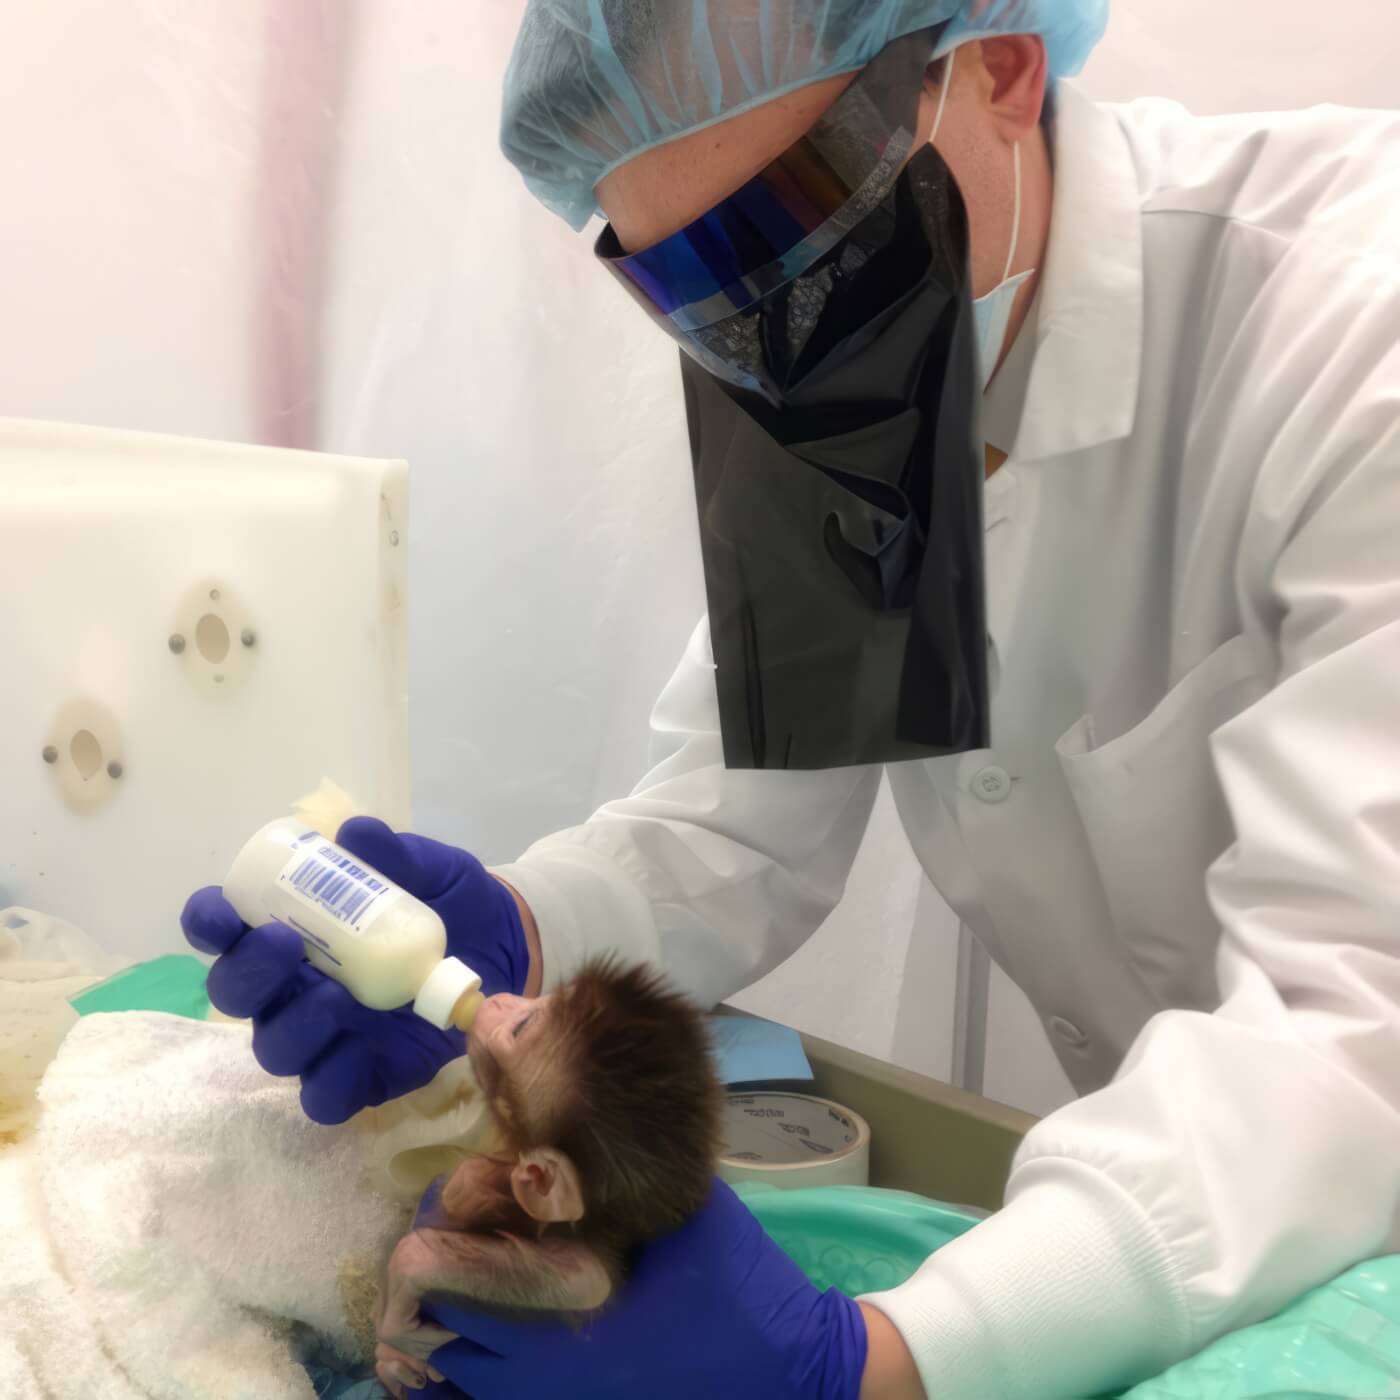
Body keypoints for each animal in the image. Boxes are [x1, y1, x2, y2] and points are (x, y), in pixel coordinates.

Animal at [372, 957, 722, 1394]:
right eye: (549, 999)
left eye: (523, 1027)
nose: (500, 999)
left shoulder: (581, 1253)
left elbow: (585, 1284)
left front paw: (402, 1314)